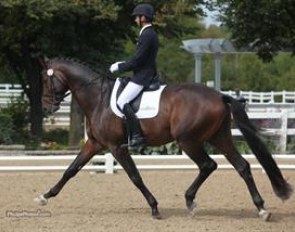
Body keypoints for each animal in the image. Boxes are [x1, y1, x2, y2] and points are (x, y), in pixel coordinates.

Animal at [35, 58, 292, 221]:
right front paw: (44, 197)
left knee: (208, 165)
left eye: (46, 81)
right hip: (220, 138)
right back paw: (261, 209)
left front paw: (155, 208)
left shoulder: (117, 147)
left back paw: (190, 201)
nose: (46, 108)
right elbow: (70, 170)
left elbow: (135, 177)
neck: (98, 98)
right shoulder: (94, 144)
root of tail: (220, 96)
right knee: (242, 166)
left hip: (188, 141)